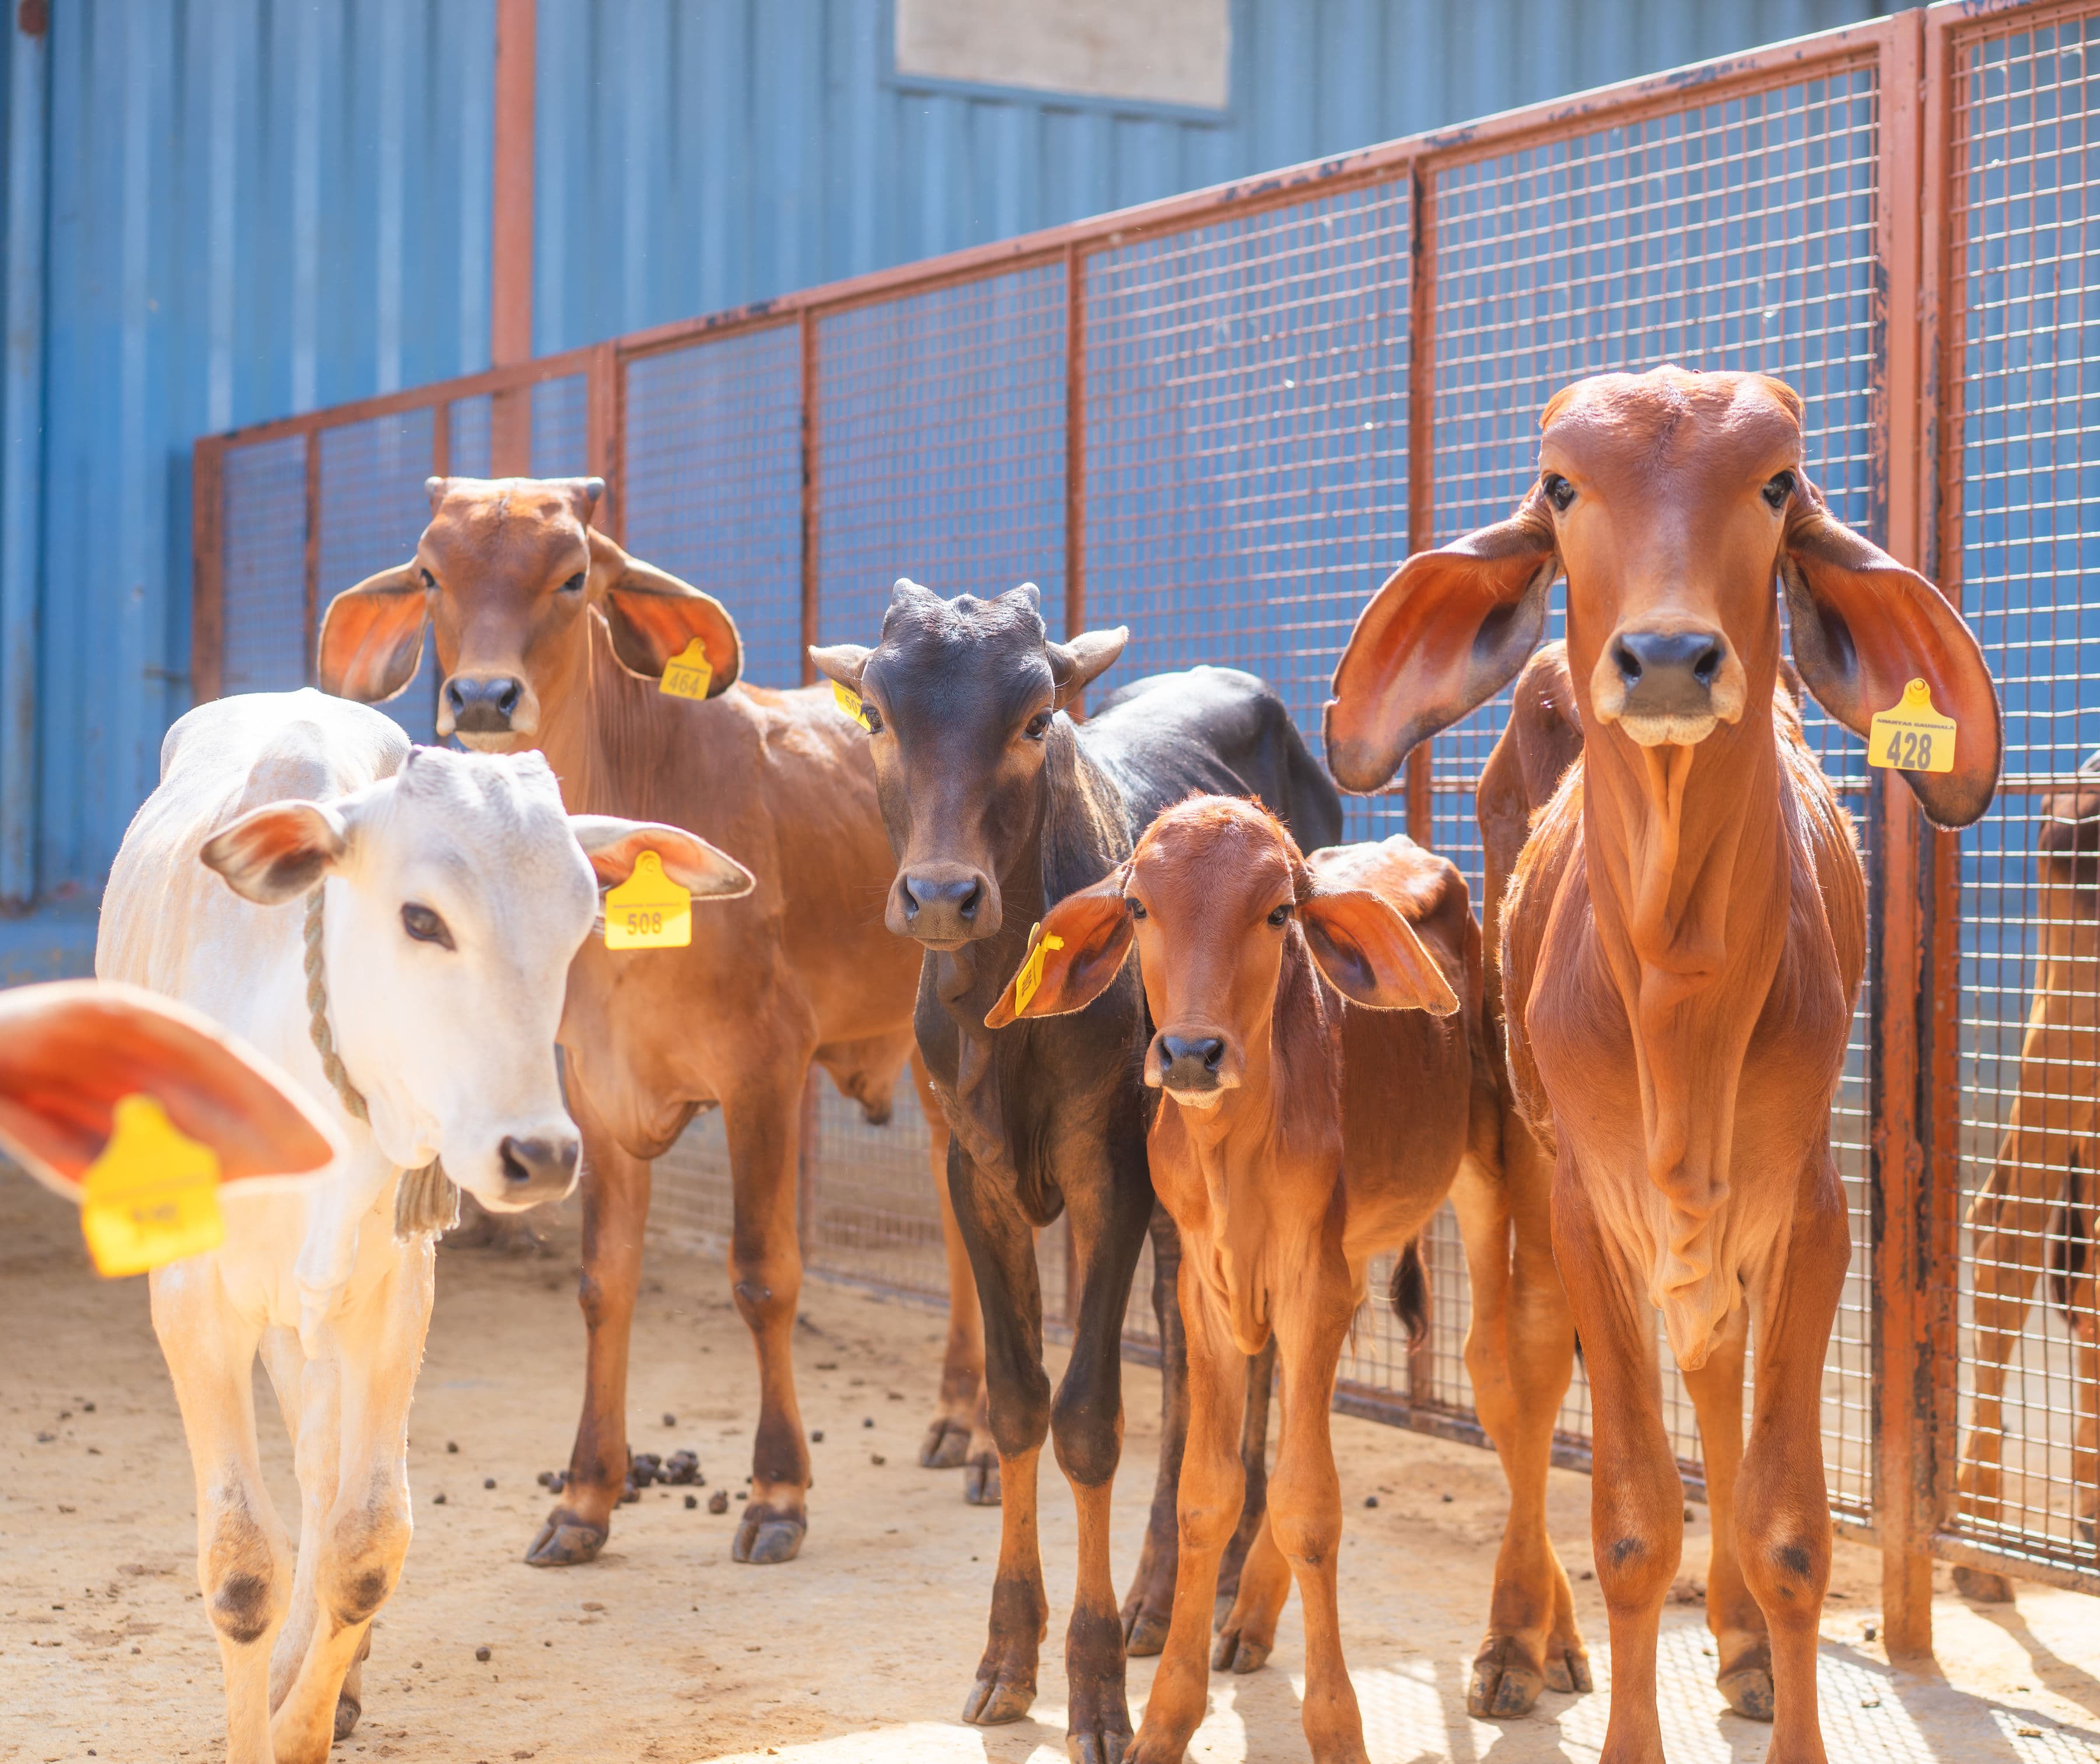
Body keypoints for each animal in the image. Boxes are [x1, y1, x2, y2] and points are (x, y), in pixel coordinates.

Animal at [97, 689, 751, 1764]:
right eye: (420, 918)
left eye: (582, 924)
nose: (540, 1153)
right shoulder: (195, 1301)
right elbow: (240, 1567)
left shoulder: (394, 1296)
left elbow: (366, 1541)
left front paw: (306, 1718)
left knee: (324, 1472)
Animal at [316, 476, 989, 1573]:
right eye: (429, 573)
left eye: (573, 574)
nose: (484, 698)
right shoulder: (593, 1083)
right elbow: (604, 1280)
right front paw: (583, 1500)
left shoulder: (765, 1069)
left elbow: (763, 1275)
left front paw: (777, 1494)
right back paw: (958, 1418)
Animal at [809, 580, 1342, 1762]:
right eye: (875, 715)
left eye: (1035, 717)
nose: (942, 895)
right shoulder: (974, 1174)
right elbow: (1018, 1401)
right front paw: (1008, 1658)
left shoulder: (1114, 1174)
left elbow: (1092, 1418)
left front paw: (1096, 1691)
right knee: (1200, 1352)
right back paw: (1172, 1587)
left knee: (1217, 1362)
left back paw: (1192, 1586)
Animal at [987, 795, 1489, 1764]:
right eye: (1139, 907)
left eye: (1279, 913)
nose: (1190, 1052)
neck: (1236, 1149)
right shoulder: (1211, 1294)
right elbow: (1208, 1496)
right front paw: (1165, 1721)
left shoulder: (1310, 1286)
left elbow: (1310, 1508)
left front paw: (1336, 1729)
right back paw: (1250, 1617)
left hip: (1504, 1181)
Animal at [1325, 367, 2000, 1764]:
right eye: (1563, 485)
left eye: (1778, 482)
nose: (1672, 658)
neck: (1681, 981)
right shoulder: (1595, 1207)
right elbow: (1633, 1516)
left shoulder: (1810, 1210)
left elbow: (1786, 1517)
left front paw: (1767, 1666)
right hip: (1522, 1168)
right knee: (1520, 1374)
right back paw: (1519, 1642)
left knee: (1715, 1386)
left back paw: (1733, 1645)